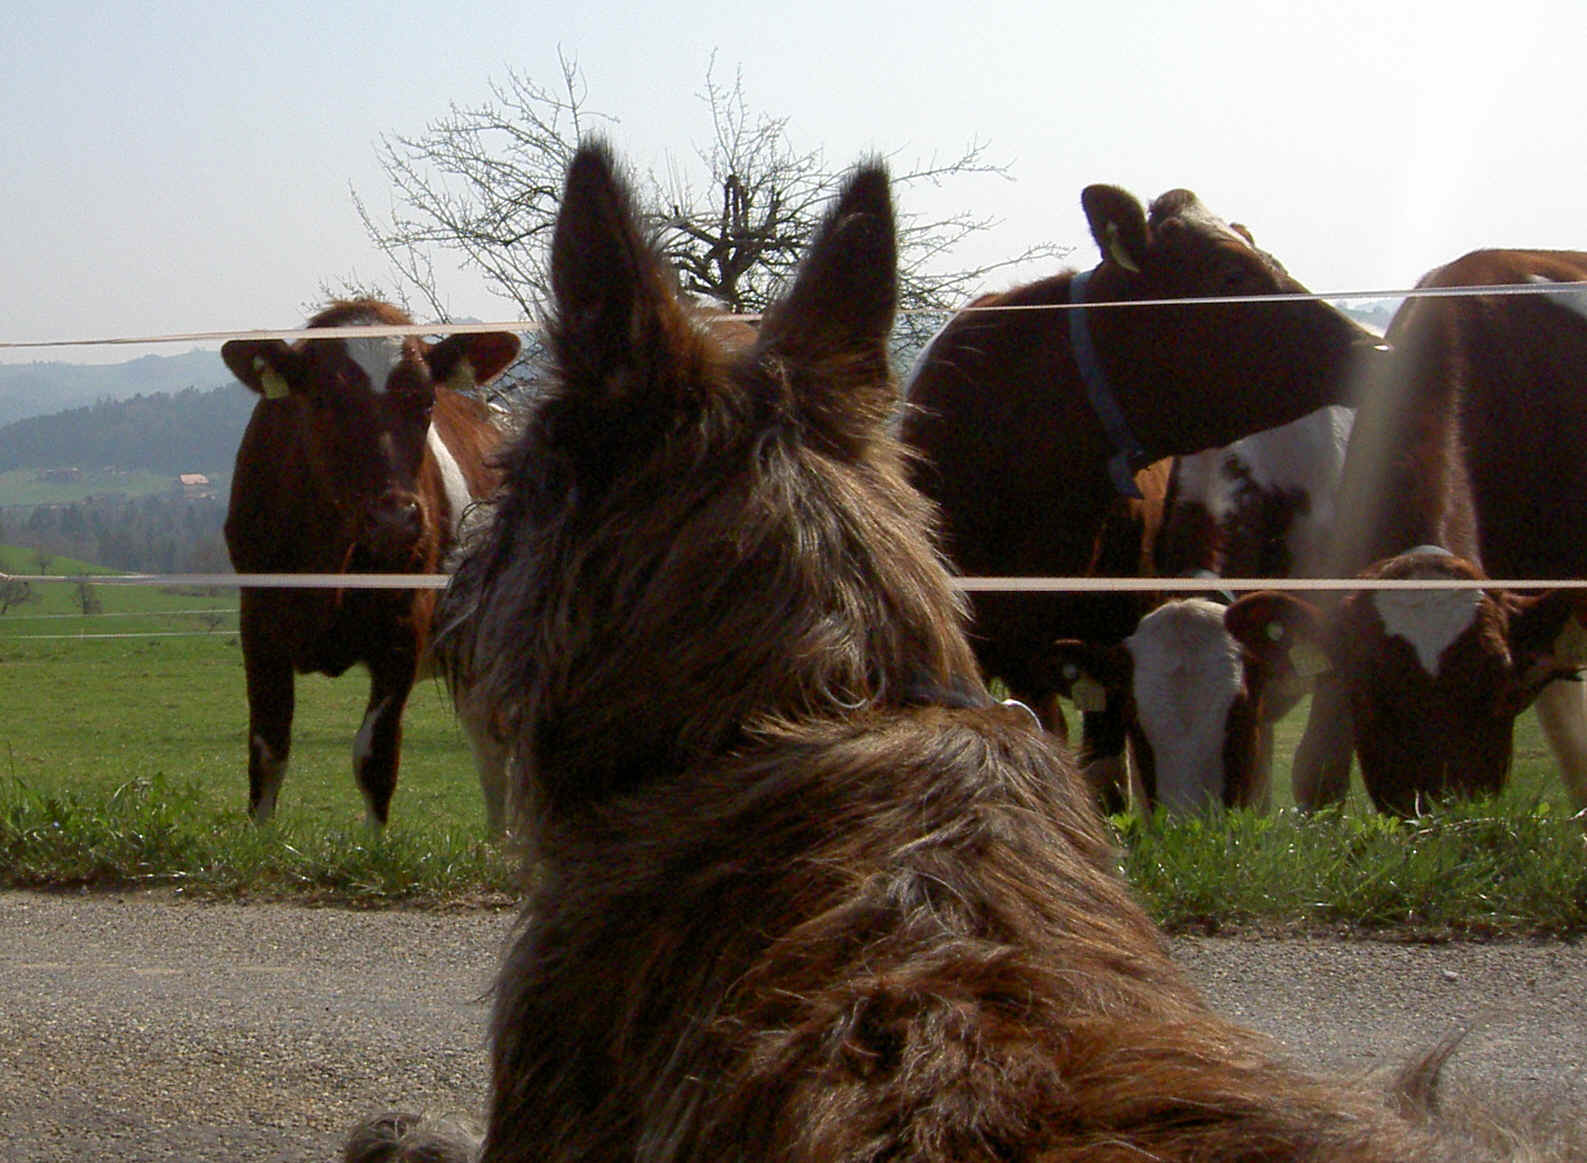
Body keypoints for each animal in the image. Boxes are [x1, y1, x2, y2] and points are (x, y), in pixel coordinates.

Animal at [222, 299, 520, 825]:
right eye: (322, 399)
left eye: (425, 402)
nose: (394, 518)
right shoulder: (258, 624)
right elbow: (268, 755)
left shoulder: (403, 631)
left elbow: (375, 759)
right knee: (491, 753)